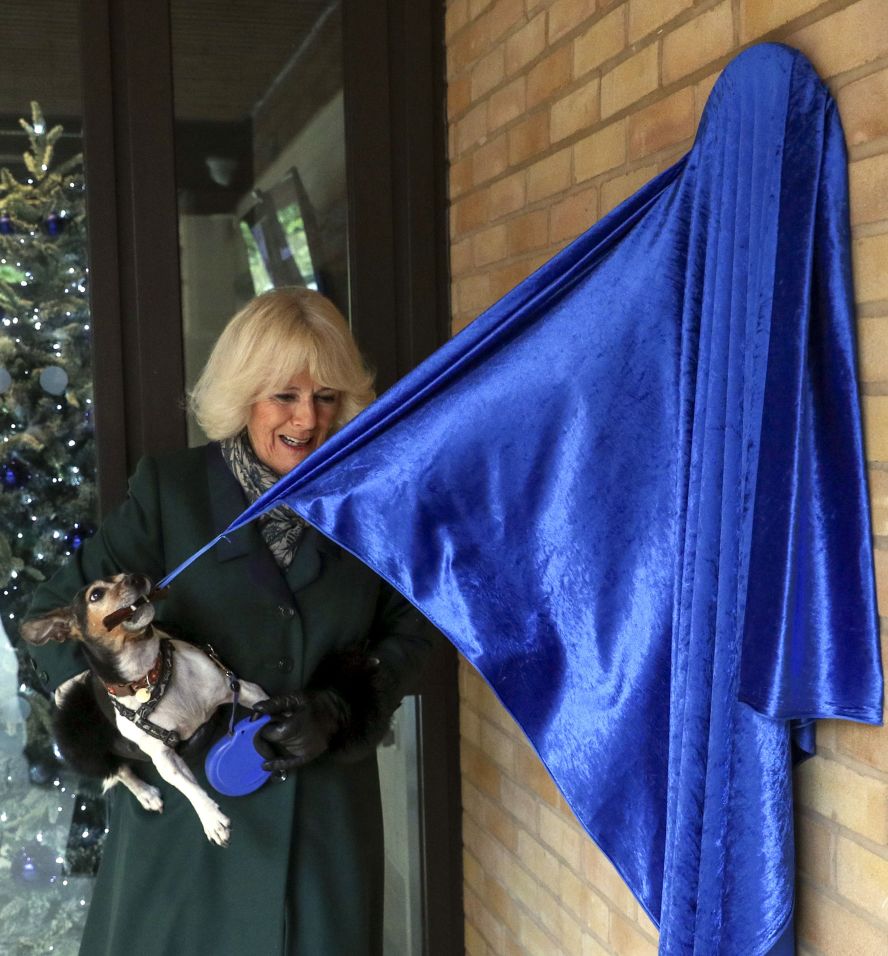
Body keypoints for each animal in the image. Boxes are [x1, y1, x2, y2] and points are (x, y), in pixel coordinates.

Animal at [20, 572, 268, 848]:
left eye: (123, 574)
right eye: (96, 594)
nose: (136, 577)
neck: (150, 677)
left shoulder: (240, 688)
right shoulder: (164, 759)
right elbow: (190, 789)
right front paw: (211, 818)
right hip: (82, 746)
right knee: (119, 770)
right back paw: (145, 793)